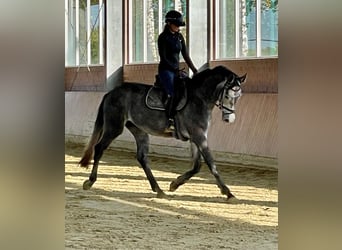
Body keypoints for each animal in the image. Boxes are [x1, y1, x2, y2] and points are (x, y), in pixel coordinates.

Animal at [79, 65, 247, 200]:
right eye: (227, 95)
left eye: (238, 97)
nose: (229, 118)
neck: (199, 98)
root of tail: (111, 93)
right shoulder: (199, 136)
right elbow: (211, 164)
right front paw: (228, 193)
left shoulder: (196, 137)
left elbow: (197, 166)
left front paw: (174, 184)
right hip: (114, 127)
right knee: (99, 148)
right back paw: (90, 181)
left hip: (139, 130)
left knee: (142, 157)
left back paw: (159, 190)